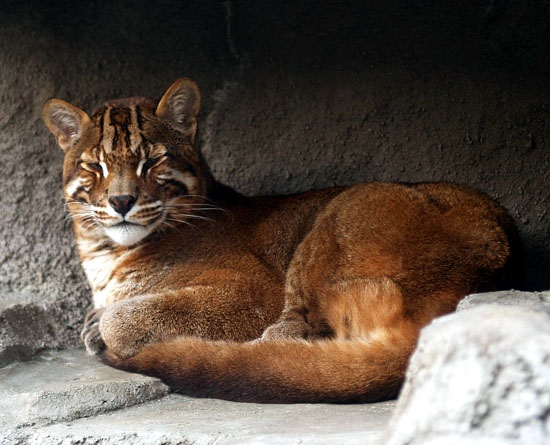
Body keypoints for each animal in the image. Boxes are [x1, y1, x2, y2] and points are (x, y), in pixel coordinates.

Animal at [44, 77, 520, 402]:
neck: (104, 252)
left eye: (153, 161)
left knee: (279, 352)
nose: (122, 200)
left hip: (336, 214)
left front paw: (105, 330)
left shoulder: (252, 293)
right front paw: (93, 323)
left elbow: (124, 317)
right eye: (94, 167)